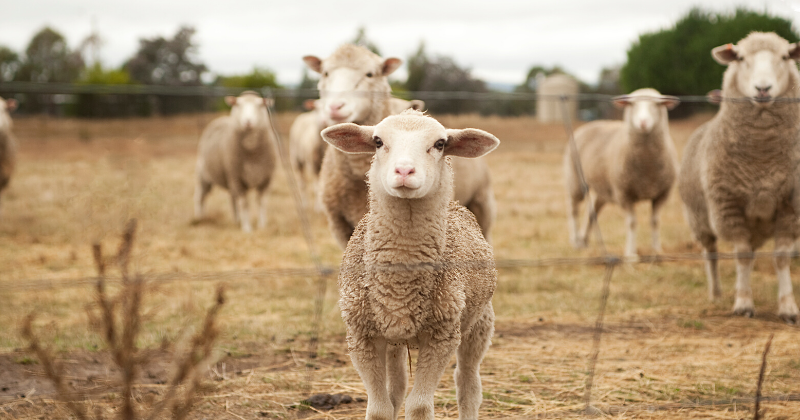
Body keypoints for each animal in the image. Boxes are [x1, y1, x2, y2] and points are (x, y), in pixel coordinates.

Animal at [194, 90, 278, 233]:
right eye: (238, 105)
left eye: (260, 104)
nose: (248, 121)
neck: (252, 152)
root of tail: (220, 119)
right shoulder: (238, 179)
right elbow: (244, 204)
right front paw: (247, 228)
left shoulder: (266, 179)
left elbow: (261, 202)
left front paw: (262, 226)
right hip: (205, 175)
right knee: (200, 196)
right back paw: (200, 218)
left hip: (229, 178)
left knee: (232, 199)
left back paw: (236, 220)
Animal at [306, 45, 500, 249]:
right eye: (325, 73)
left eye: (370, 74)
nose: (335, 107)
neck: (357, 173)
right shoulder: (339, 225)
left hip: (483, 203)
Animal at [320, 110, 500, 420]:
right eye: (378, 141)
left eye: (440, 144)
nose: (404, 171)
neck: (400, 284)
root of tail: (456, 205)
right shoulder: (361, 336)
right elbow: (379, 408)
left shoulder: (442, 337)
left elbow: (419, 406)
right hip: (393, 339)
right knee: (397, 387)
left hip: (479, 321)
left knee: (468, 384)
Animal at [564, 88, 680, 256]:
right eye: (632, 104)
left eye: (656, 105)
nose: (643, 123)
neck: (647, 167)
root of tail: (591, 124)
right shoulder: (624, 194)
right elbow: (632, 223)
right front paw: (631, 254)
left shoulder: (661, 194)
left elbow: (655, 222)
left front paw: (657, 250)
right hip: (575, 180)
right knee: (573, 209)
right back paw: (575, 241)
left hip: (604, 189)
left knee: (592, 211)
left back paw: (583, 240)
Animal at [680, 32, 800, 322]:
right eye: (742, 58)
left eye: (784, 57)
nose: (763, 89)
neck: (763, 158)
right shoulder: (729, 207)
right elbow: (743, 256)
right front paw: (743, 303)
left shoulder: (790, 207)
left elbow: (781, 257)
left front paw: (788, 307)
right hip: (699, 219)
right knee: (711, 255)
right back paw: (716, 294)